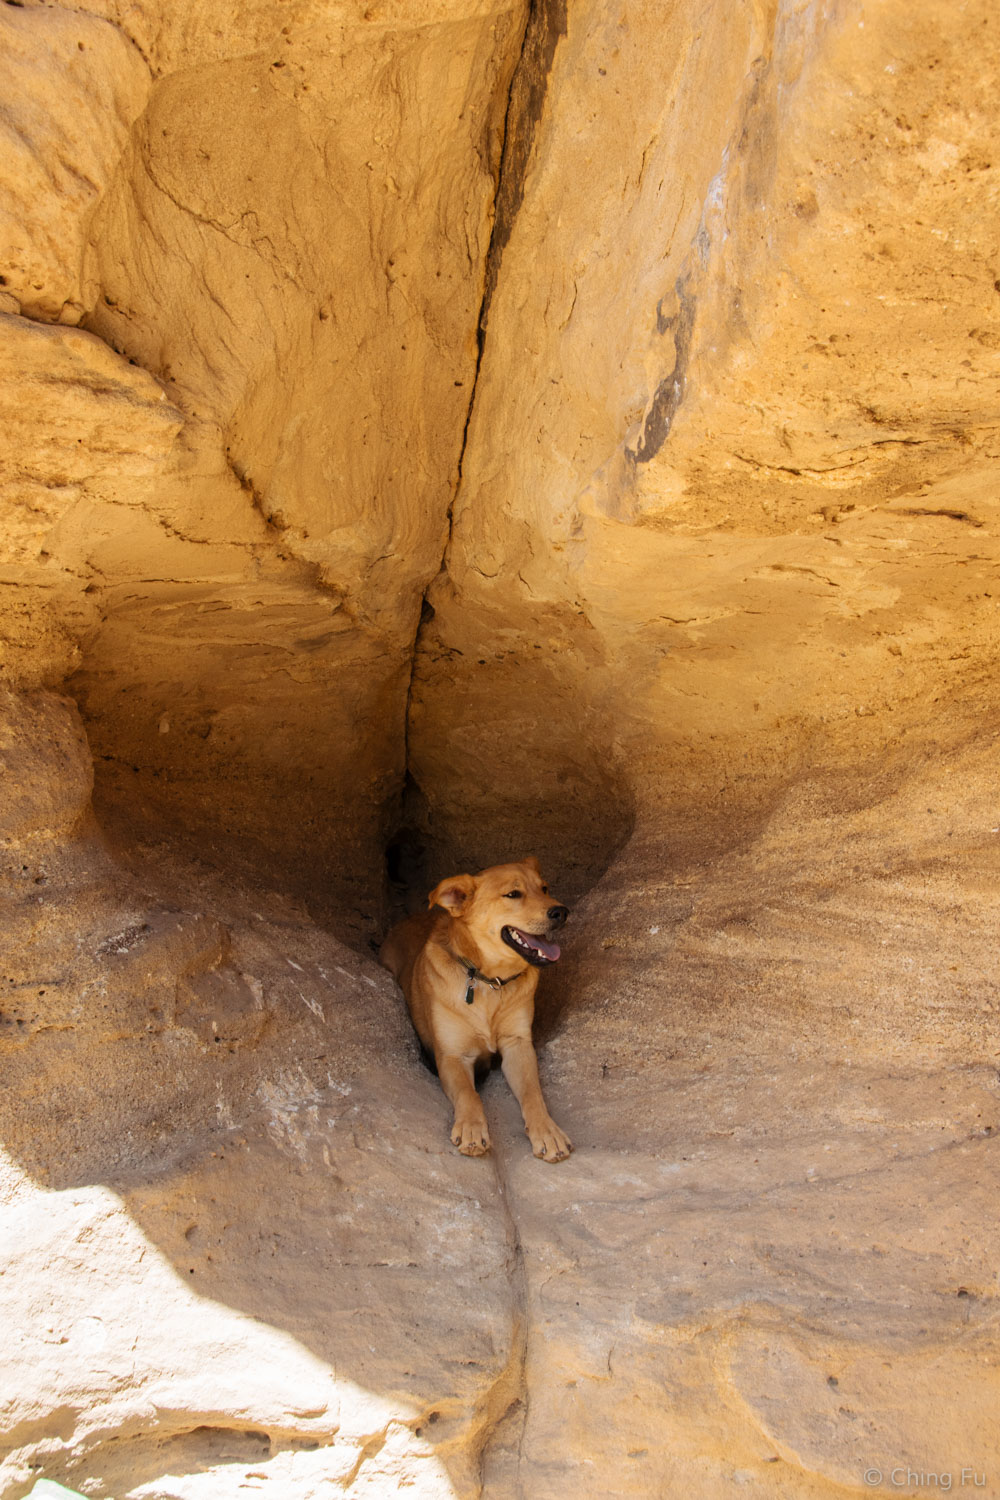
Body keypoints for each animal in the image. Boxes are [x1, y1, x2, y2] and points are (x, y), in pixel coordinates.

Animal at [379, 858, 575, 1158]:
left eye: (544, 888)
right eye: (513, 894)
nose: (561, 912)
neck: (491, 983)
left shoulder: (518, 1045)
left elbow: (533, 1093)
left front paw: (547, 1131)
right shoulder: (452, 1056)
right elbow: (468, 1094)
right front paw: (471, 1128)